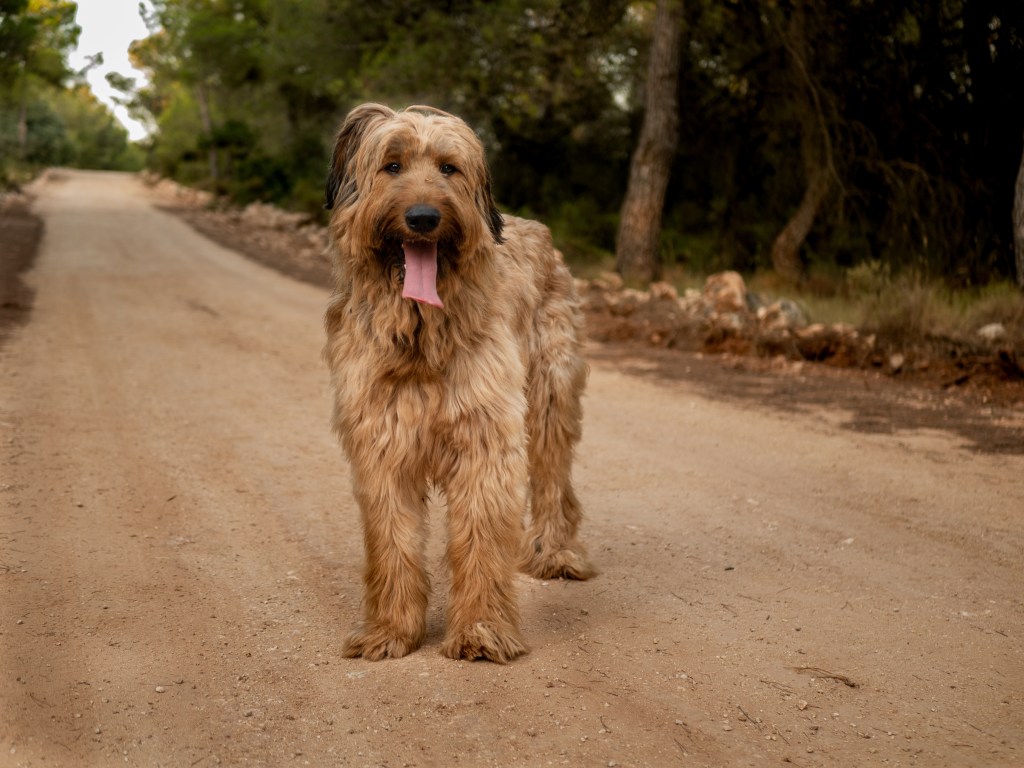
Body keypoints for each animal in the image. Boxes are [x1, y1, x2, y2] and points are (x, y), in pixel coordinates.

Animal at [319, 105, 593, 663]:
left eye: (449, 168)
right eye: (392, 164)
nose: (424, 218)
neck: (421, 332)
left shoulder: (484, 437)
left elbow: (481, 539)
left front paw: (481, 630)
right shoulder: (382, 443)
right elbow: (392, 541)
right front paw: (390, 631)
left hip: (549, 398)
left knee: (553, 482)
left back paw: (554, 552)